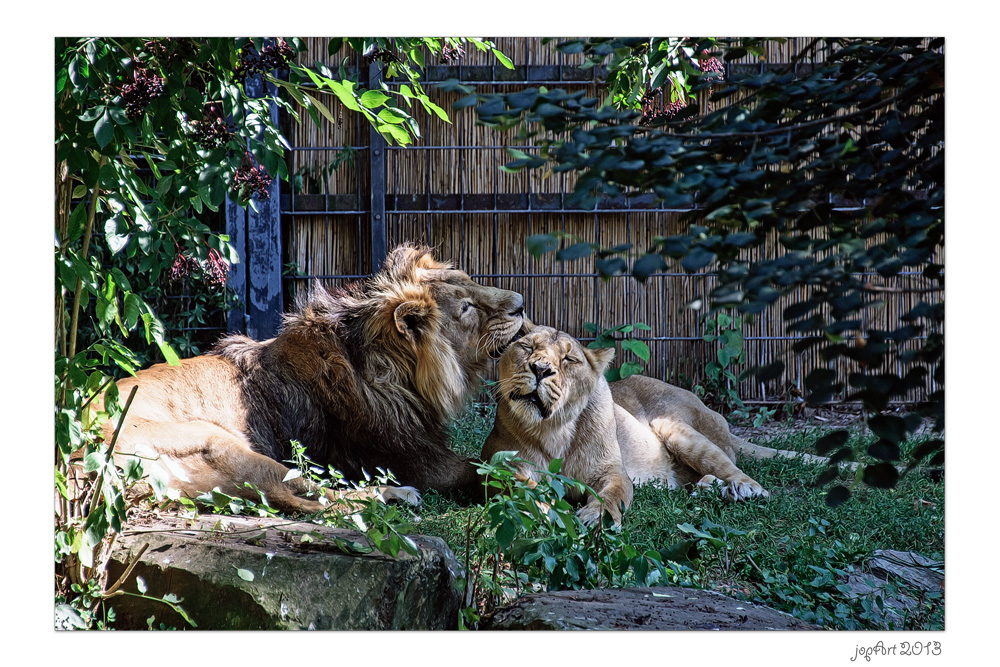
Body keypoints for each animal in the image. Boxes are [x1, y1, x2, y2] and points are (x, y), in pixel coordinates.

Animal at [97, 248, 528, 516]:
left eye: (470, 281)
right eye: (466, 308)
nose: (521, 304)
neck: (386, 370)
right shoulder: (416, 461)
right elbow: (480, 470)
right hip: (220, 441)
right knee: (313, 497)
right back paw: (396, 495)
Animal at [480, 324, 768, 528]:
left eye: (569, 359)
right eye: (527, 347)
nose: (540, 369)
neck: (554, 428)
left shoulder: (612, 471)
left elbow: (612, 496)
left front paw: (597, 518)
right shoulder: (500, 467)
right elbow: (521, 487)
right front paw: (542, 507)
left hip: (673, 427)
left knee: (734, 468)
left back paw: (744, 489)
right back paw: (711, 489)